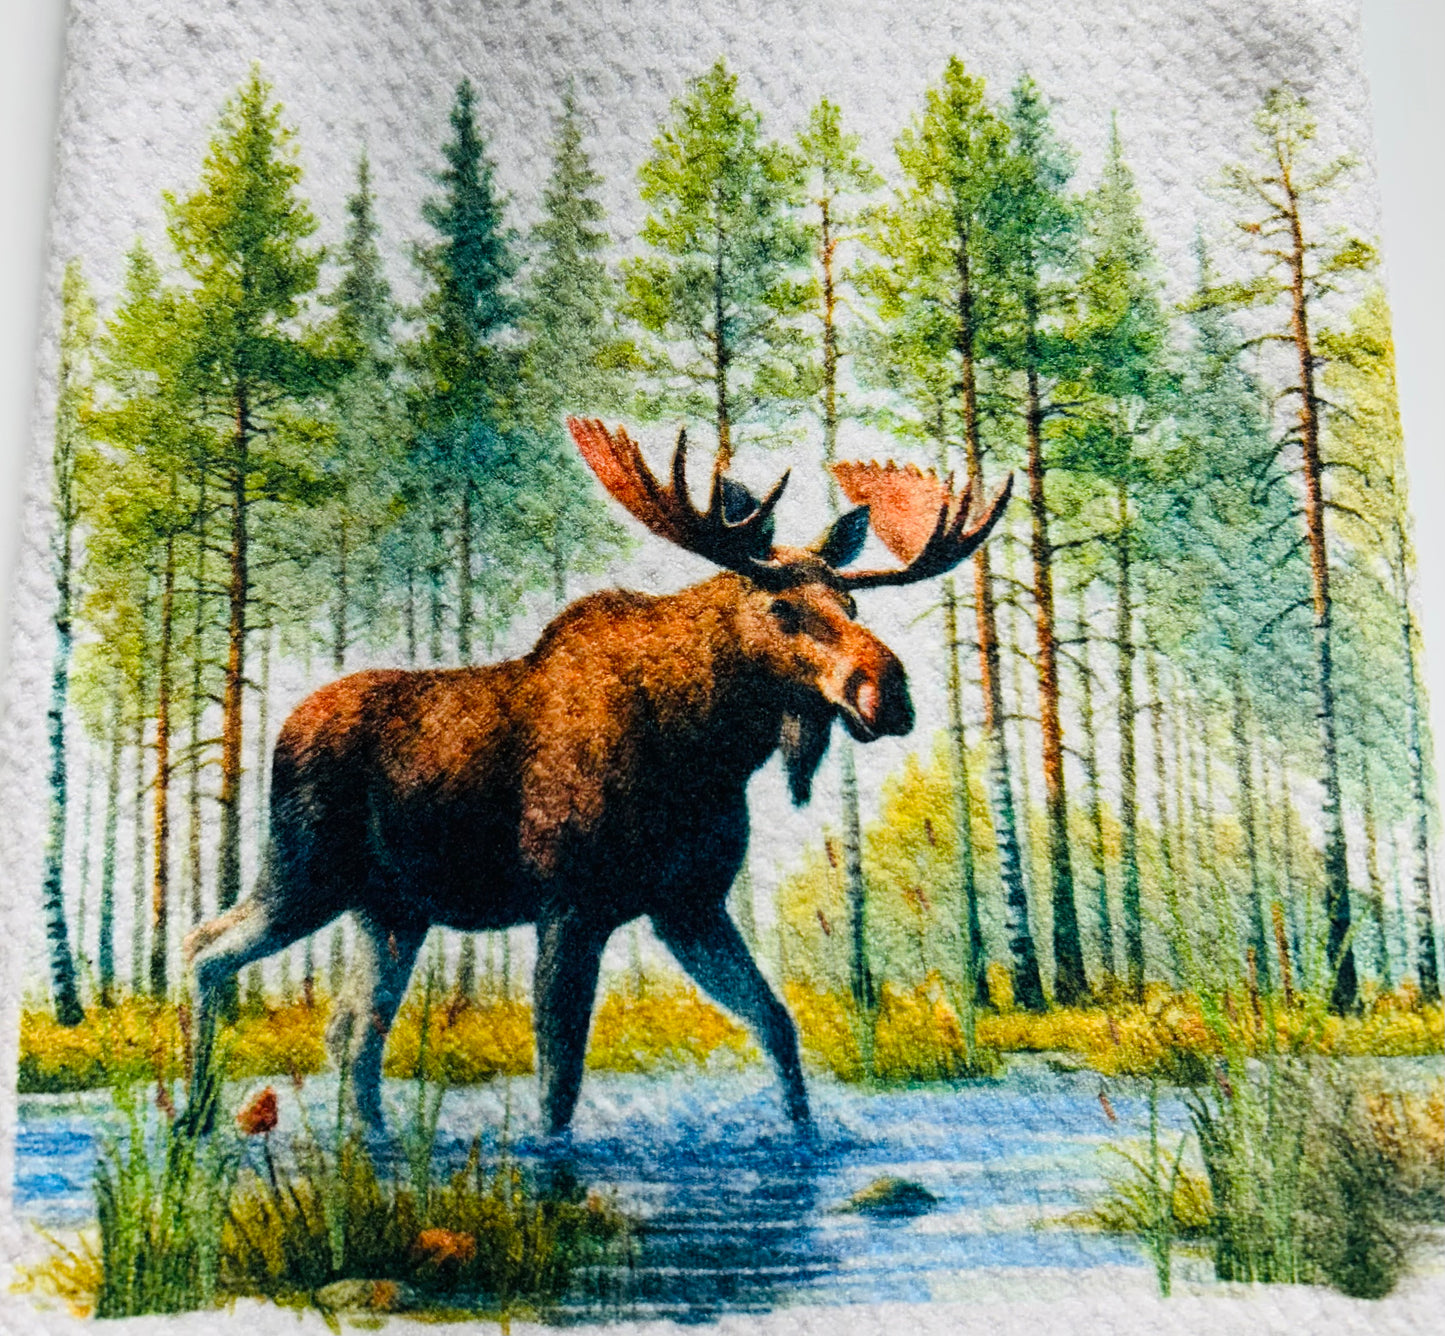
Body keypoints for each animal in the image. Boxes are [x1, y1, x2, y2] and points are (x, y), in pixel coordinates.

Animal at [183, 419, 1011, 1136]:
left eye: (849, 603)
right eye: (780, 607)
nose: (888, 691)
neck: (708, 751)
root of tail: (285, 727)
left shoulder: (687, 905)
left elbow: (776, 1024)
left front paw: (806, 1138)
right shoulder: (571, 906)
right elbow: (559, 1080)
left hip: (390, 912)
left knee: (352, 1031)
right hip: (304, 872)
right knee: (205, 946)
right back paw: (195, 1117)